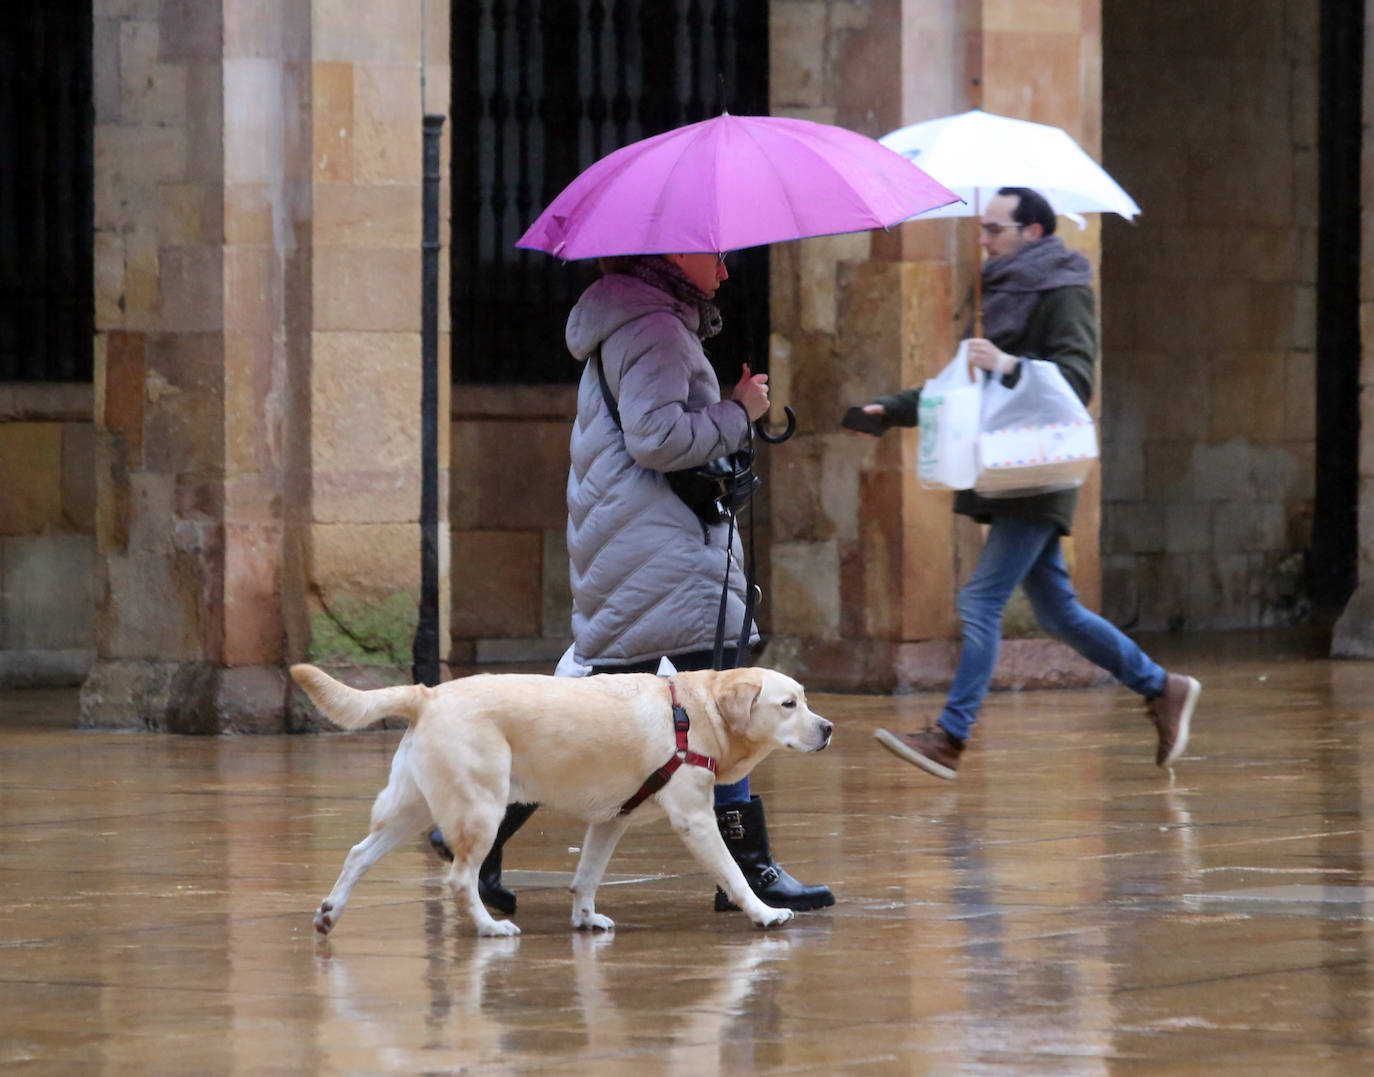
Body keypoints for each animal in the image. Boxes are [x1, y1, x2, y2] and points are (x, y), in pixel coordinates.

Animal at [294, 659, 829, 939]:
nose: (828, 728)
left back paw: (329, 912)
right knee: (461, 877)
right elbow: (733, 873)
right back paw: (489, 928)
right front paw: (764, 913)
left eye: (805, 699)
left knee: (358, 854)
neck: (697, 711)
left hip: (410, 809)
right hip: (482, 809)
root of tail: (427, 694)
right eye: (788, 704)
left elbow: (586, 876)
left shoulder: (611, 820)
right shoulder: (695, 819)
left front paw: (586, 918)